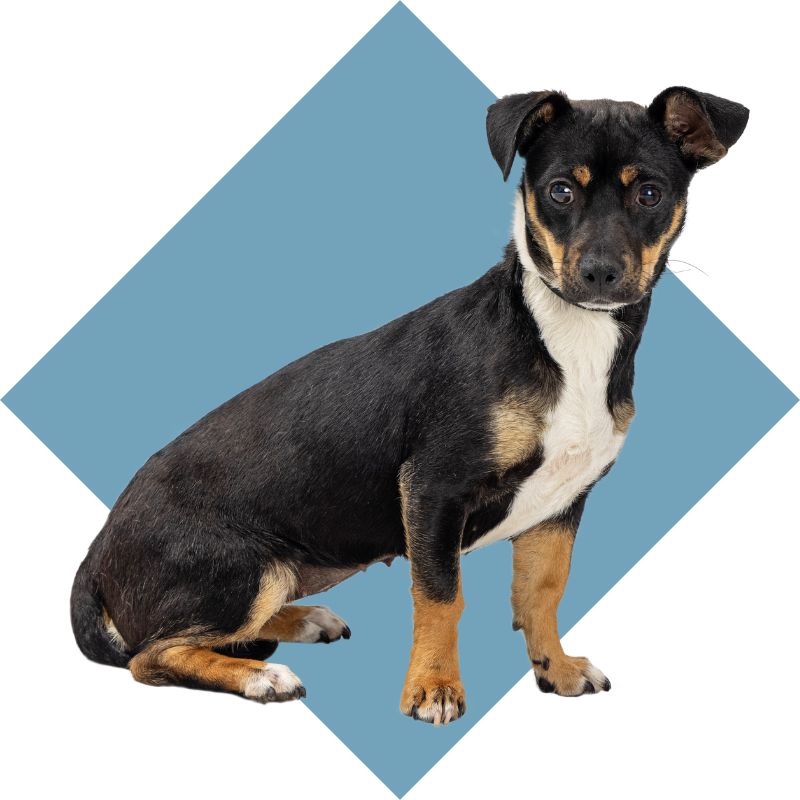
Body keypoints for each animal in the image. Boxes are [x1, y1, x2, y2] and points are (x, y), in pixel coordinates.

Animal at [70, 86, 752, 724]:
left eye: (650, 195)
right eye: (559, 191)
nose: (600, 273)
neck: (561, 337)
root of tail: (97, 553)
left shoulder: (561, 505)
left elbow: (542, 591)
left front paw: (554, 668)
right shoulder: (433, 488)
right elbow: (442, 598)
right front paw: (433, 688)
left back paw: (302, 621)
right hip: (249, 570)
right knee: (153, 656)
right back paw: (261, 676)